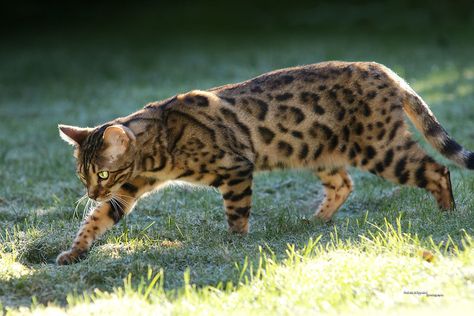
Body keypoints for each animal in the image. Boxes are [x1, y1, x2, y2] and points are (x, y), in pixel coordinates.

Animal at [56, 61, 474, 264]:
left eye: (103, 172)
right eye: (83, 175)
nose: (91, 192)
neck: (157, 148)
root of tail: (384, 70)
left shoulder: (236, 168)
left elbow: (237, 213)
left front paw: (235, 243)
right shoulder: (126, 189)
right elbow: (95, 220)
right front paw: (74, 252)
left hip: (381, 148)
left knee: (437, 169)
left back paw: (447, 213)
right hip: (321, 152)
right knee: (344, 184)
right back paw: (314, 221)